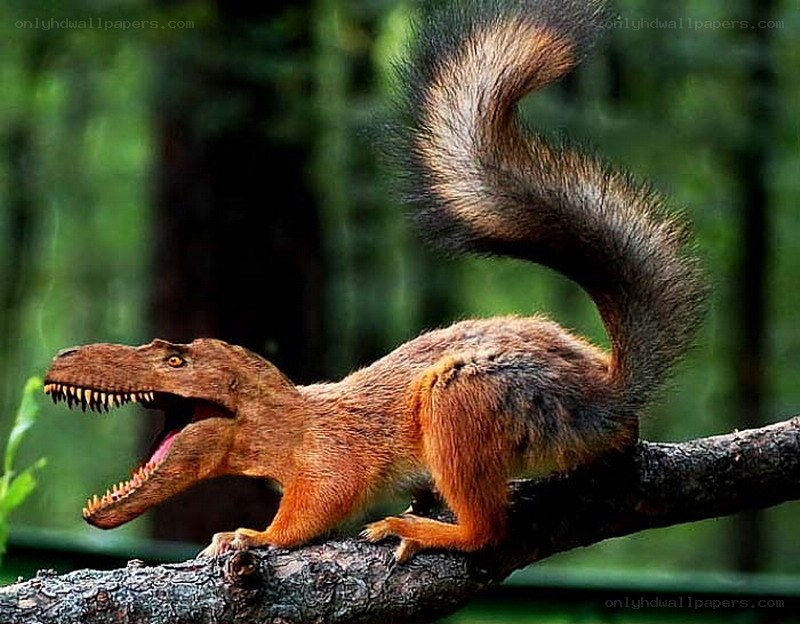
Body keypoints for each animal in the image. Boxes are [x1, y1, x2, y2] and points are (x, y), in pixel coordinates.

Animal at [43, 0, 704, 562]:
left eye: (175, 358)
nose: (61, 359)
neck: (292, 420)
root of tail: (606, 398)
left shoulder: (332, 462)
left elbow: (314, 511)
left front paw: (251, 535)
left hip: (464, 401)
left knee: (487, 531)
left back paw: (426, 529)